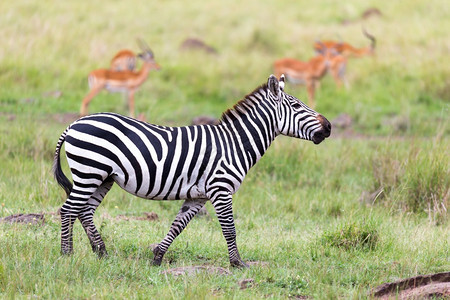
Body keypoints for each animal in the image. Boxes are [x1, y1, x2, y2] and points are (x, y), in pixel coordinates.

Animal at [52, 74, 330, 268]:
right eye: (296, 106)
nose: (328, 127)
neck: (234, 144)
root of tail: (75, 123)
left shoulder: (199, 196)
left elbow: (178, 226)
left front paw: (157, 257)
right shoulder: (221, 189)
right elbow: (229, 228)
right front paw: (238, 263)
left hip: (103, 177)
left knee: (85, 211)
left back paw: (102, 252)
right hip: (89, 172)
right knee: (68, 210)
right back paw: (67, 254)